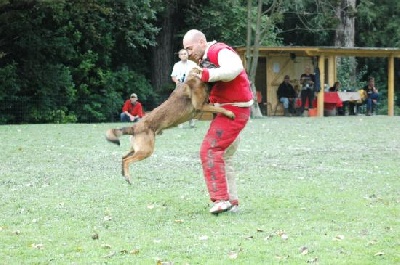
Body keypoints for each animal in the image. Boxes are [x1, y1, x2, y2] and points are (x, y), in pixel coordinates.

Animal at [104, 68, 234, 184]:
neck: (196, 78)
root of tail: (135, 127)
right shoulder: (201, 106)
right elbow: (220, 108)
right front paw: (230, 113)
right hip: (146, 151)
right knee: (127, 160)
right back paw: (128, 178)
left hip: (136, 149)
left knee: (123, 157)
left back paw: (123, 174)